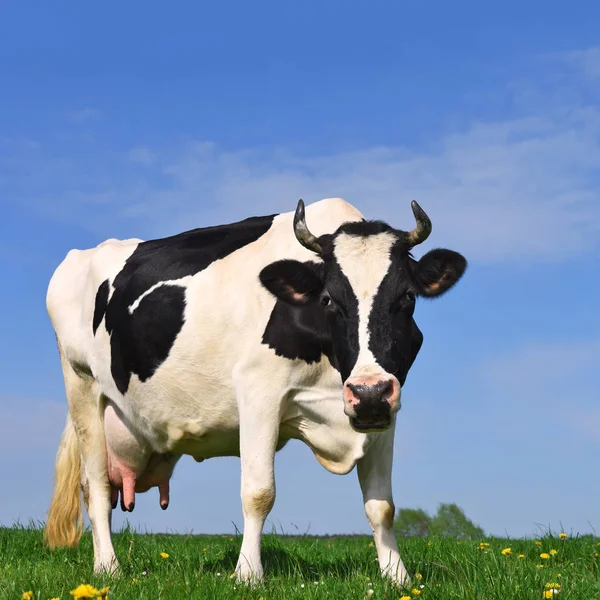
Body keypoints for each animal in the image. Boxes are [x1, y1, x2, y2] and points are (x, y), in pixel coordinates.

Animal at [45, 197, 468, 584]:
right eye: (328, 299)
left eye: (407, 297)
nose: (367, 392)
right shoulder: (257, 390)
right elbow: (259, 492)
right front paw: (248, 574)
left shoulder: (385, 411)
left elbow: (382, 506)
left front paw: (398, 578)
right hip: (82, 385)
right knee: (96, 487)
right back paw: (108, 568)